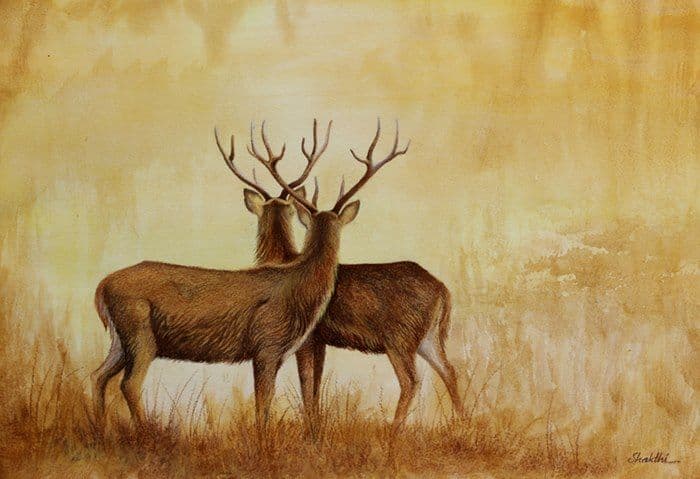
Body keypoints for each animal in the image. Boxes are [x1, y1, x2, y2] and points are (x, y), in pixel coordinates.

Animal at [91, 123, 369, 430]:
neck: (296, 286)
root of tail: (101, 287)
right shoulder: (266, 344)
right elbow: (264, 402)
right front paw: (262, 439)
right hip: (139, 330)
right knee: (129, 383)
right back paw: (146, 432)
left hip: (120, 339)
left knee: (98, 375)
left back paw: (102, 429)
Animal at [218, 119, 464, 432]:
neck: (286, 260)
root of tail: (443, 290)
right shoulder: (320, 340)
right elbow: (315, 385)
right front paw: (315, 427)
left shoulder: (308, 337)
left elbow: (306, 382)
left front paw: (310, 429)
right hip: (430, 336)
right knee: (449, 370)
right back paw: (464, 423)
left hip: (400, 336)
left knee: (412, 380)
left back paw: (393, 431)